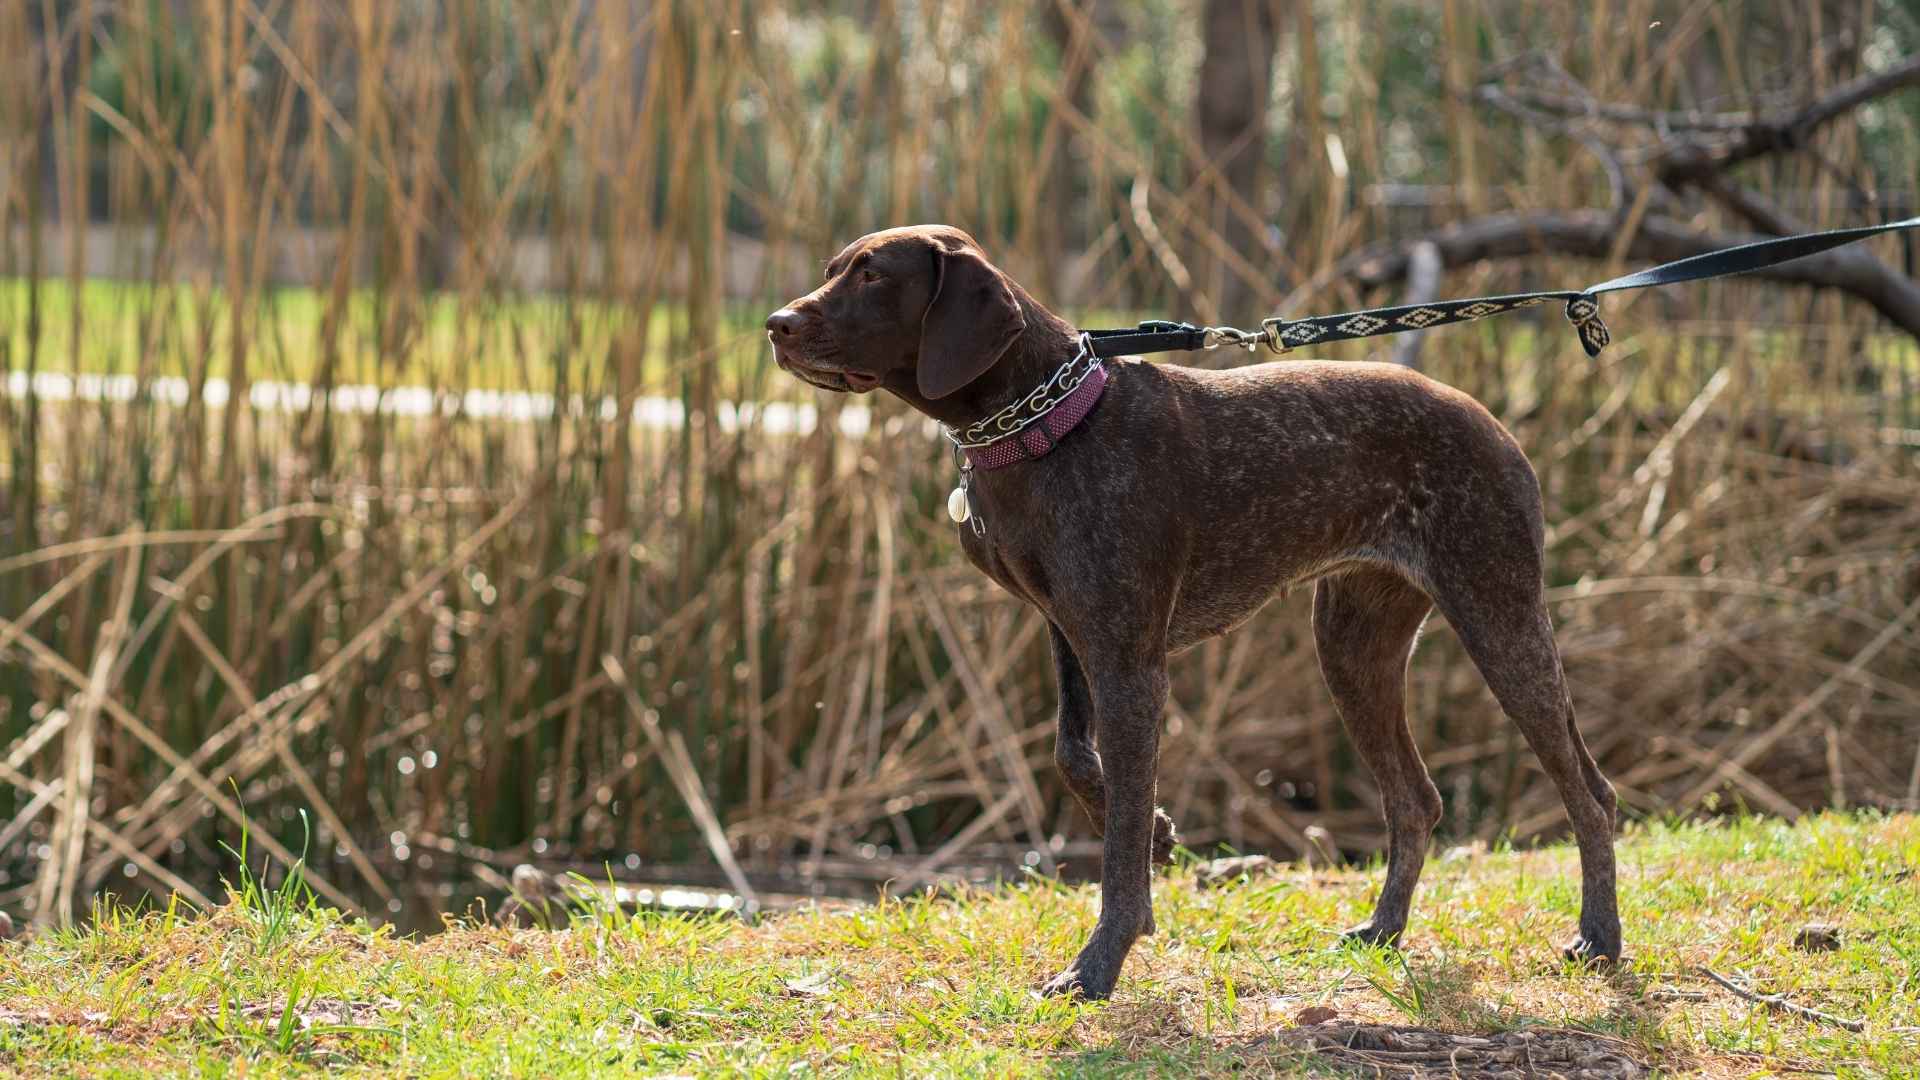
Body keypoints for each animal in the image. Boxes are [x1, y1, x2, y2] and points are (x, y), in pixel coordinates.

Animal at [764, 222, 1620, 999]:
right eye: (836, 268)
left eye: (873, 276)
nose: (776, 324)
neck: (1045, 423)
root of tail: (1494, 424)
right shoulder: (1073, 637)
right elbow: (1075, 760)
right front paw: (1161, 834)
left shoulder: (1131, 666)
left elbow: (1115, 852)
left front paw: (1098, 964)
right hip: (1352, 648)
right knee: (1417, 800)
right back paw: (1383, 930)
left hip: (1498, 619)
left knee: (1590, 797)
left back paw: (1599, 939)